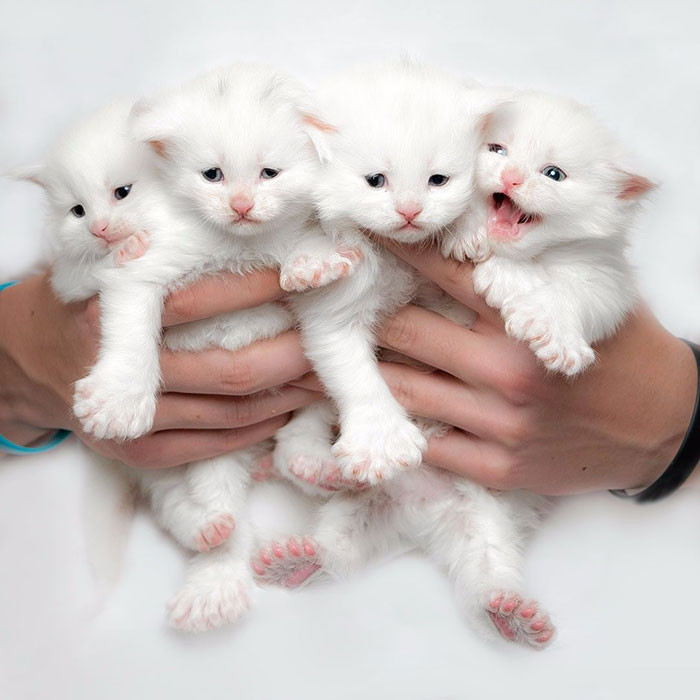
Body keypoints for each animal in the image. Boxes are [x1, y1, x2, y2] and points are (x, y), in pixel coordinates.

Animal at [256, 63, 552, 652]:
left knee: (488, 555)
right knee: (330, 520)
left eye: (438, 180)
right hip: (357, 505)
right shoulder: (334, 310)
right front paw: (381, 440)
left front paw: (466, 227)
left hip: (485, 510)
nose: (411, 211)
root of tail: (418, 518)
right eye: (376, 181)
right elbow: (353, 372)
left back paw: (506, 612)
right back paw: (309, 509)